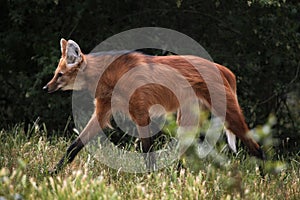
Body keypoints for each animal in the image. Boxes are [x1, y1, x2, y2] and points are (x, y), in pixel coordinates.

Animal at [42, 38, 264, 174]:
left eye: (60, 75)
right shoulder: (104, 111)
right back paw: (178, 177)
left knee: (256, 147)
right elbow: (74, 145)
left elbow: (147, 150)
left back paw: (264, 178)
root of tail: (224, 69)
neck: (109, 76)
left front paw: (150, 178)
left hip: (225, 112)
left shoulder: (141, 113)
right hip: (187, 116)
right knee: (185, 151)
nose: (46, 87)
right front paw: (52, 173)